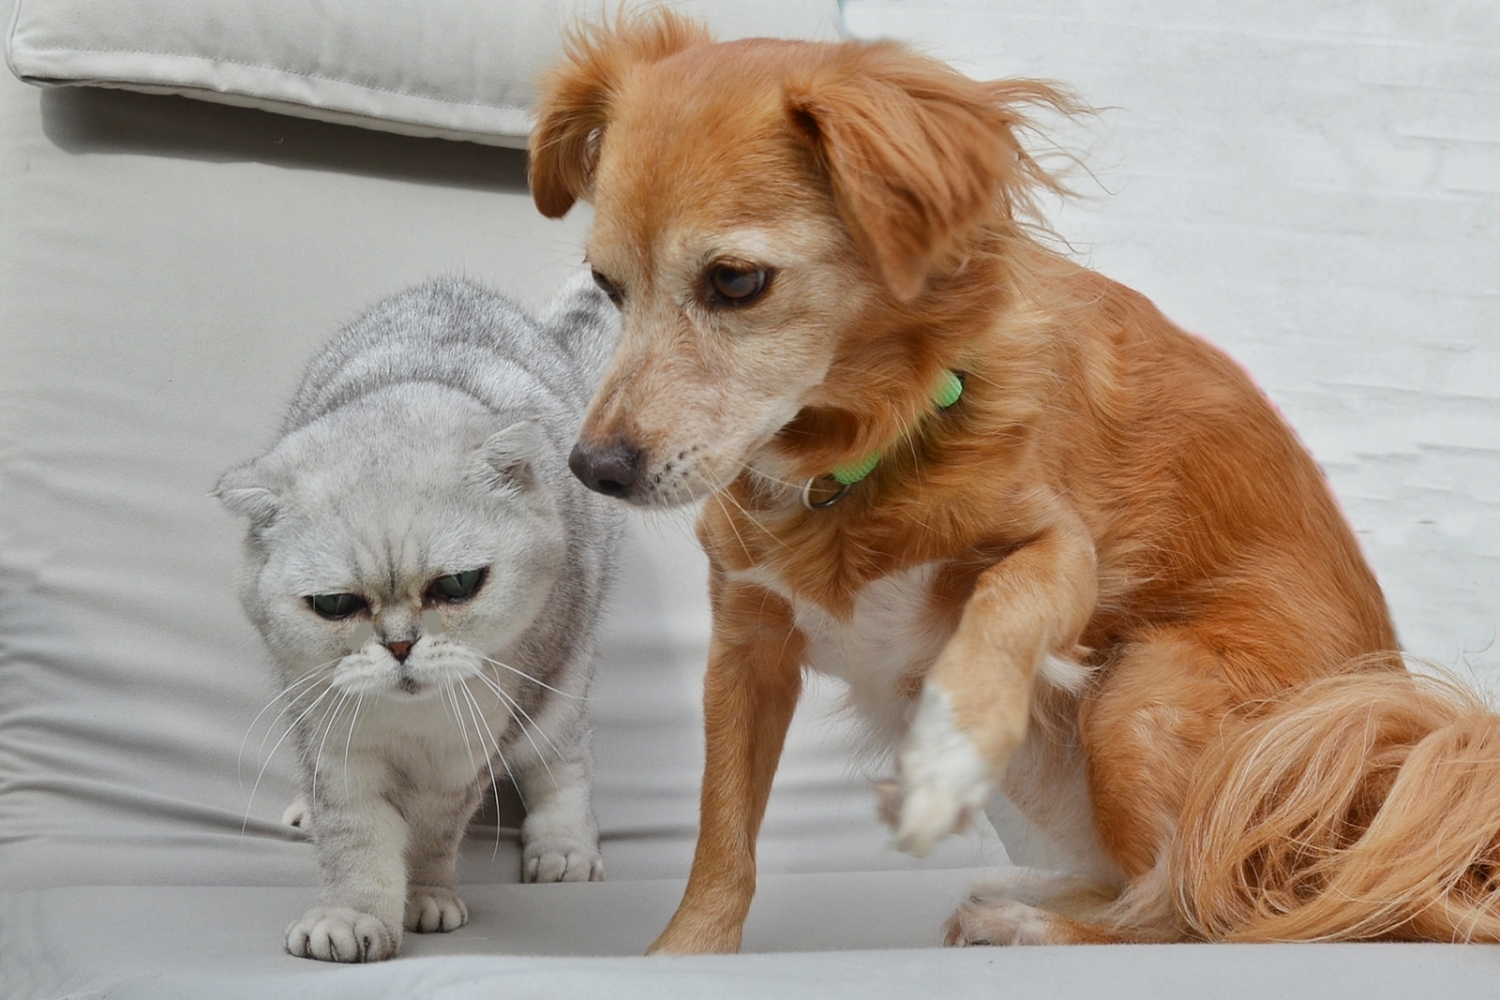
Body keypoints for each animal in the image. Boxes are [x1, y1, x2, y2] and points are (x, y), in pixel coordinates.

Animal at [217, 274, 623, 963]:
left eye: (457, 585)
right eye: (335, 605)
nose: (401, 645)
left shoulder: (464, 756)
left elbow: (435, 835)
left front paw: (425, 899)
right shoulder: (337, 750)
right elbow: (355, 842)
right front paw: (352, 917)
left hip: (562, 679)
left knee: (565, 755)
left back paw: (563, 846)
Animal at [530, 11, 1500, 951]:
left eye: (735, 281)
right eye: (608, 287)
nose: (594, 469)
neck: (853, 460)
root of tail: (1371, 804)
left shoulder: (1062, 552)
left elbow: (1001, 608)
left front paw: (946, 756)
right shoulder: (745, 647)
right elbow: (723, 835)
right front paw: (685, 952)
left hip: (1142, 701)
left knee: (1209, 910)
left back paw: (1036, 924)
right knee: (1161, 892)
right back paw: (1030, 893)